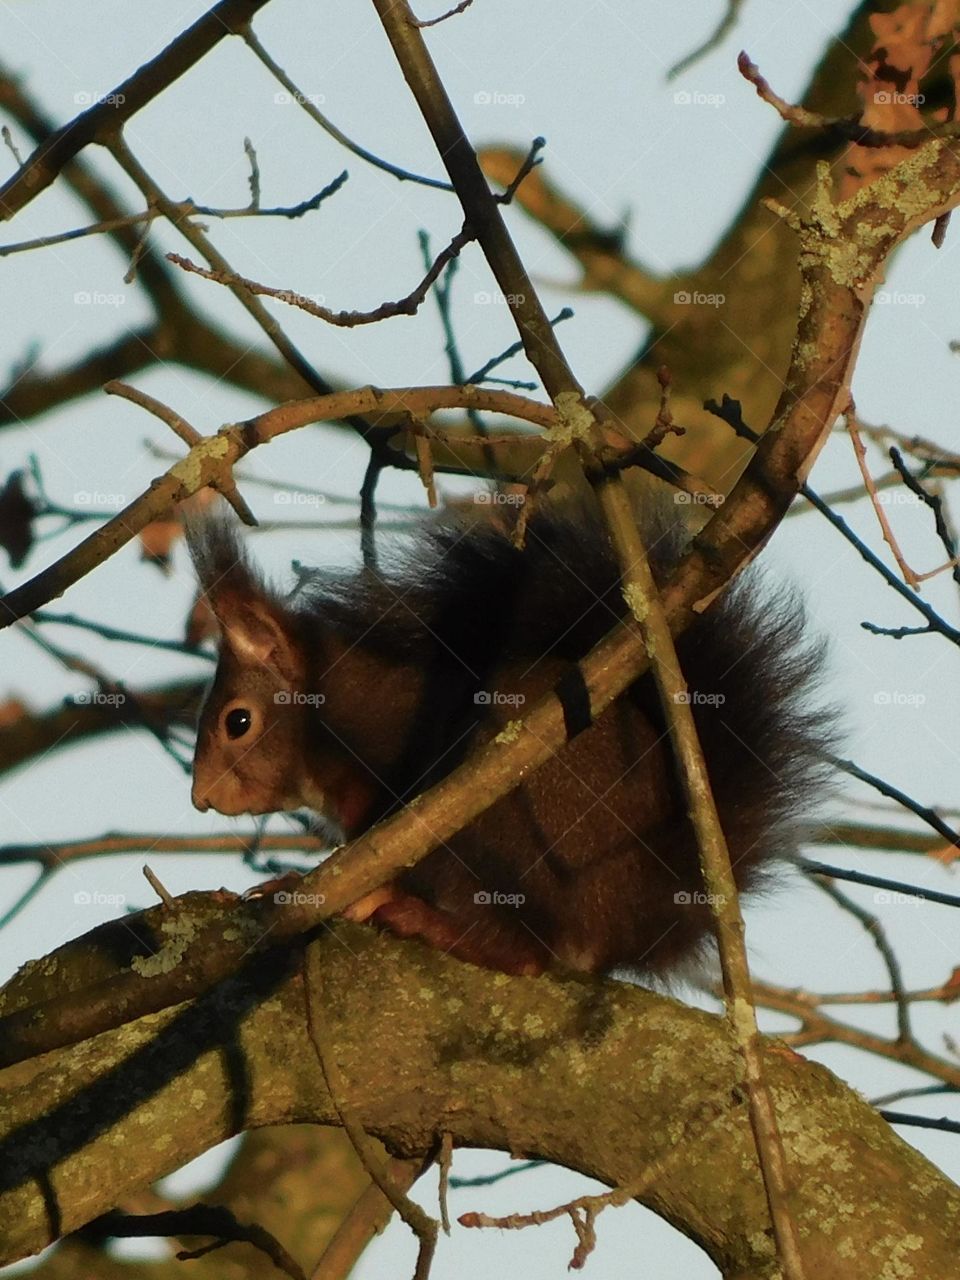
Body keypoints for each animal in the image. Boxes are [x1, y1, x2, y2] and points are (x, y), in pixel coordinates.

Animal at [188, 491, 832, 979]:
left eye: (237, 722)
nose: (201, 798)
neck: (333, 709)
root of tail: (632, 921)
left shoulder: (383, 784)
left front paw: (302, 888)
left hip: (507, 825)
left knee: (526, 954)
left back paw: (419, 918)